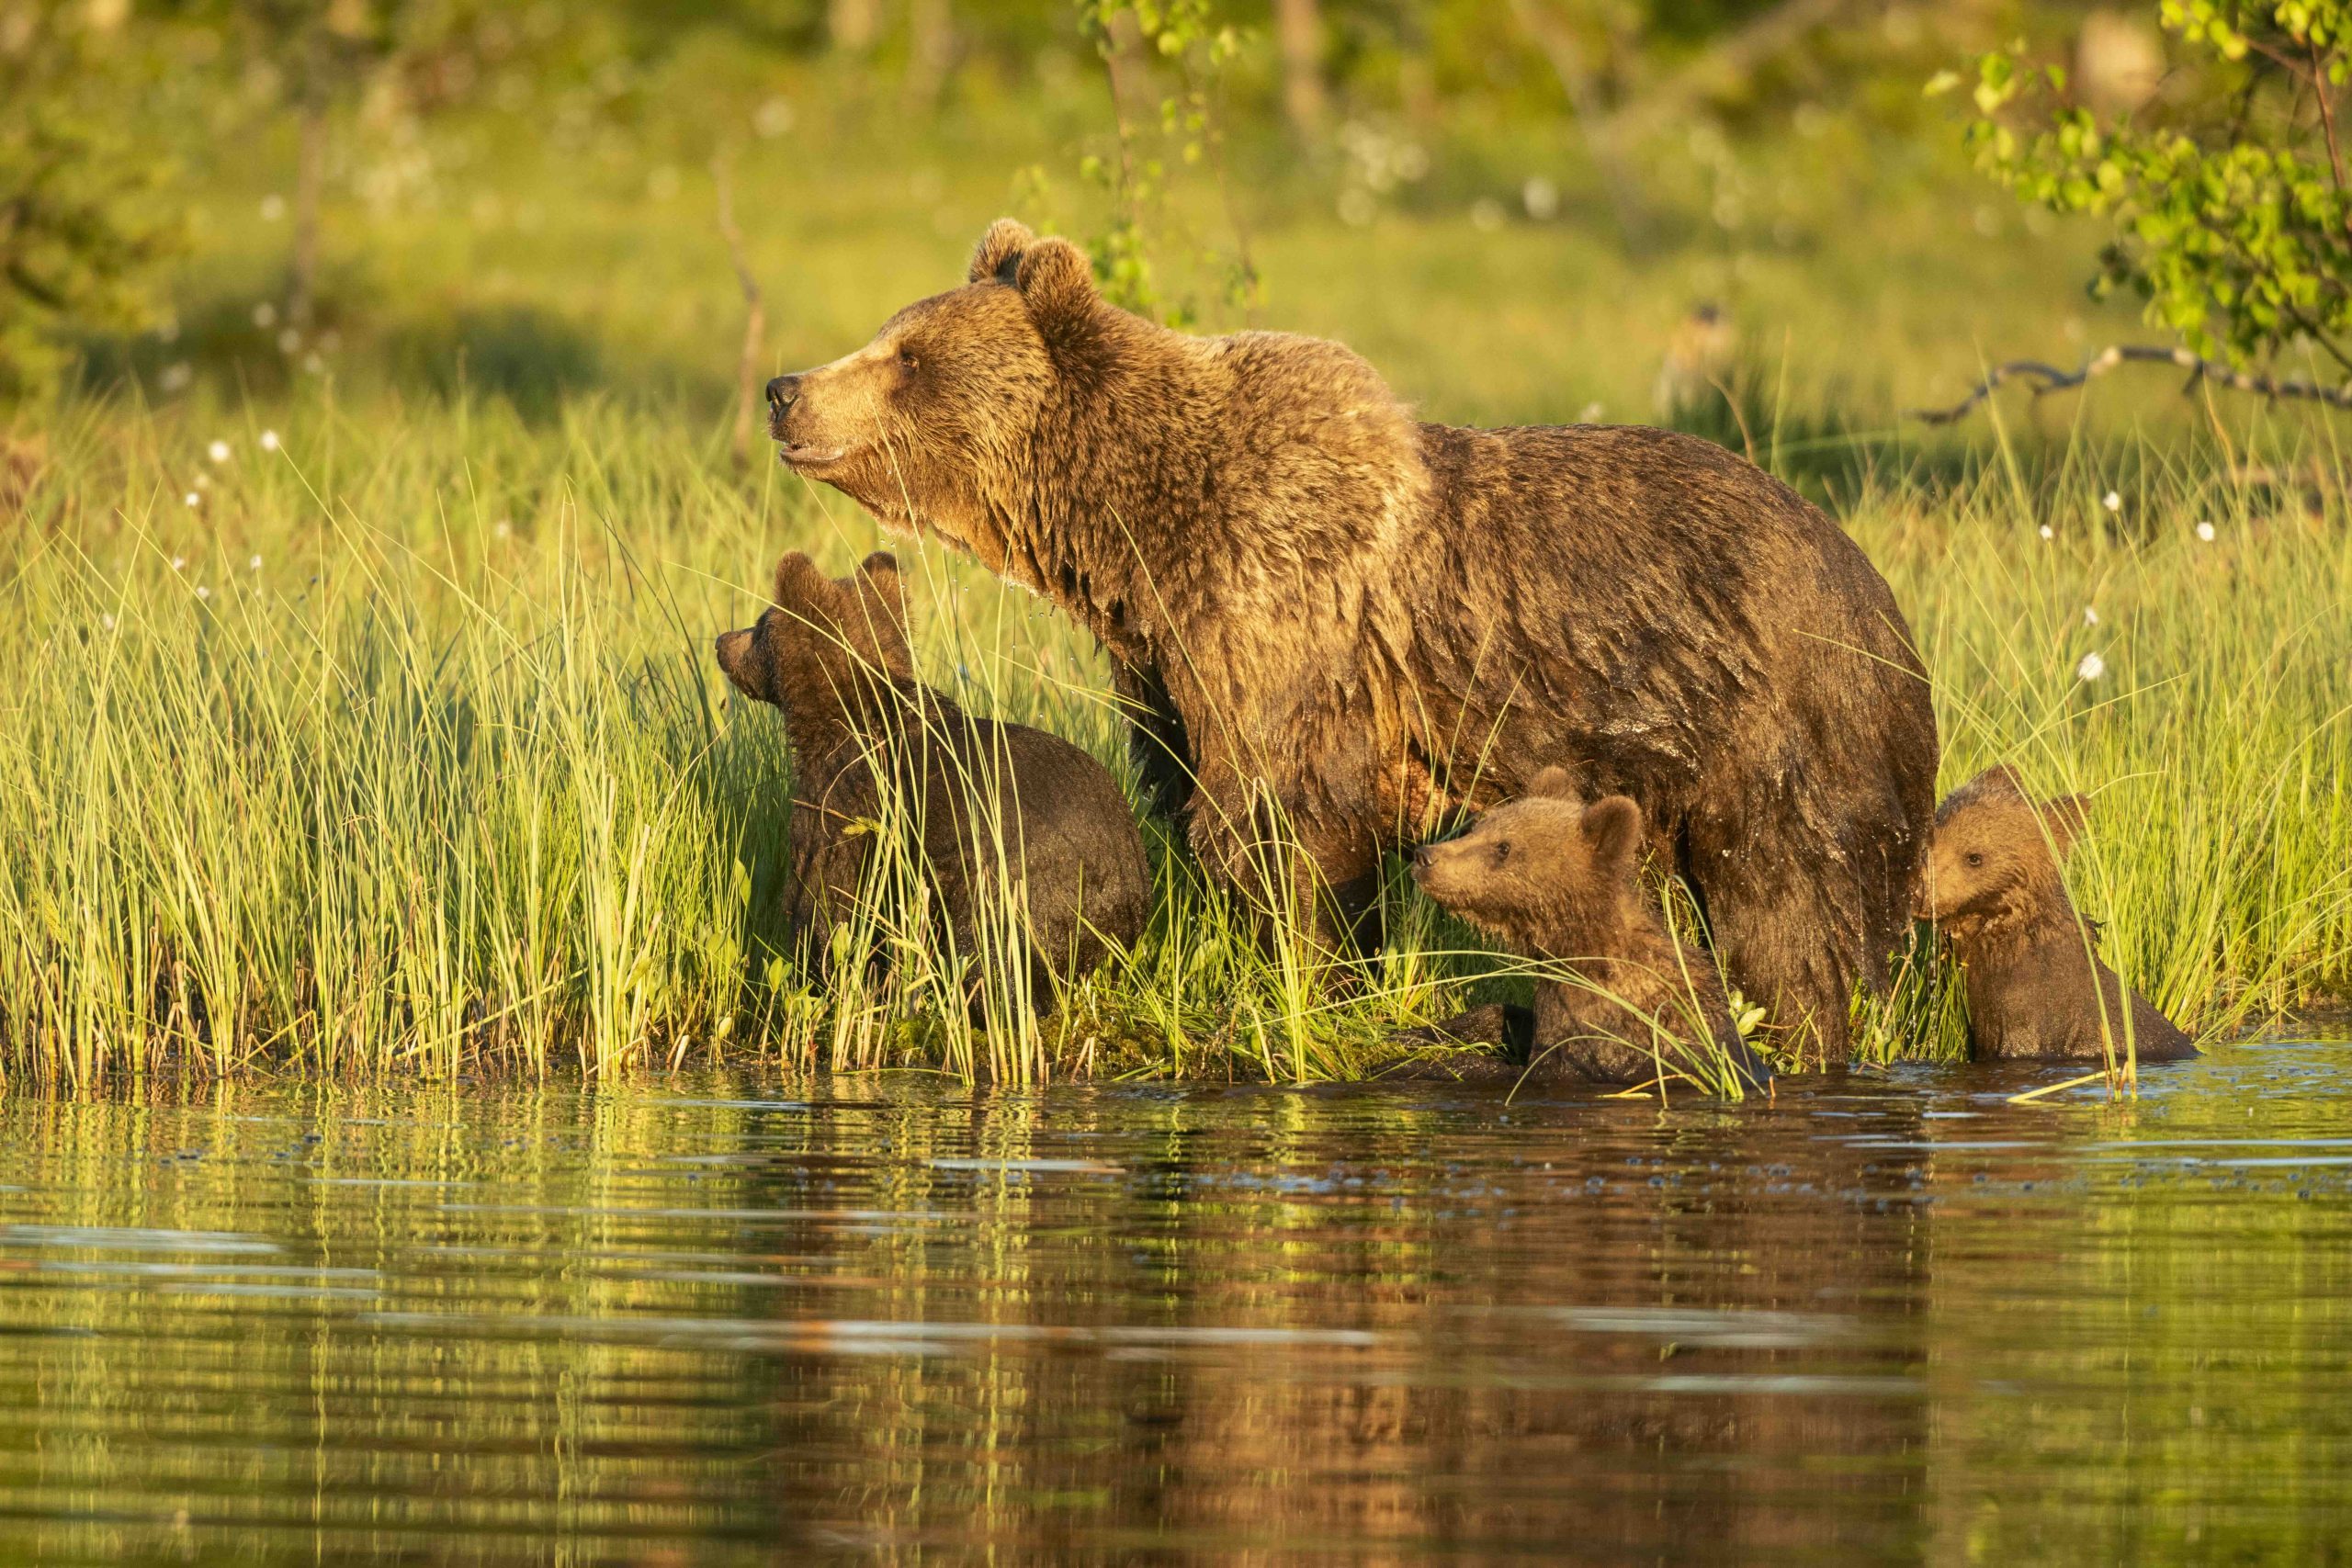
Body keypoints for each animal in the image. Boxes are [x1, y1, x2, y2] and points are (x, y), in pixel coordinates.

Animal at [714, 549, 1151, 1006]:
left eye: (761, 623)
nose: (721, 640)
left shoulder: (842, 804)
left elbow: (825, 904)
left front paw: (818, 977)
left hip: (1013, 892)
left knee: (990, 959)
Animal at [760, 217, 1939, 1058]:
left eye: (906, 356)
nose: (784, 389)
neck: (1133, 536)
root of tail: (1871, 582)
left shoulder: (1282, 619)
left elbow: (1283, 829)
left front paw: (1301, 982)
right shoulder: (1164, 666)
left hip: (1772, 724)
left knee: (1798, 916)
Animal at [1401, 767, 1773, 1092]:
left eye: (1503, 847)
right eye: (1478, 826)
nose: (1425, 856)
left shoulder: (1612, 1039)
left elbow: (1529, 1071)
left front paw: (1413, 1064)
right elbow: (1509, 1017)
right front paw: (1417, 1033)